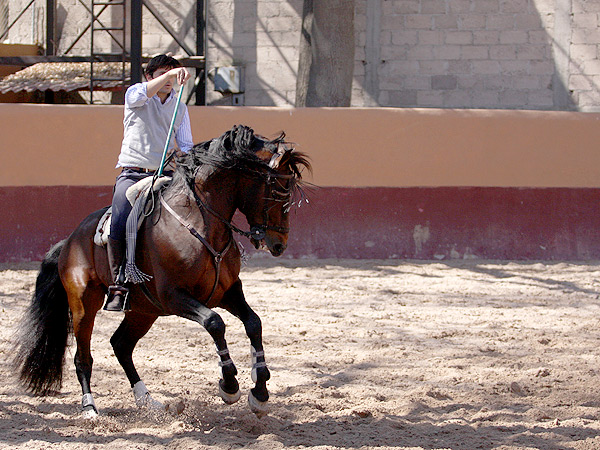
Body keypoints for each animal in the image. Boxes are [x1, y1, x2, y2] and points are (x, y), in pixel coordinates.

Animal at [12, 124, 312, 418]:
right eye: (279, 189)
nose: (279, 244)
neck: (200, 223)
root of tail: (70, 241)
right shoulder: (175, 296)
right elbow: (215, 322)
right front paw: (229, 385)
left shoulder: (227, 291)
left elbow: (254, 323)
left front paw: (259, 391)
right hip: (84, 306)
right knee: (83, 357)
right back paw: (90, 409)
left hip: (144, 311)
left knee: (121, 344)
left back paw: (147, 400)